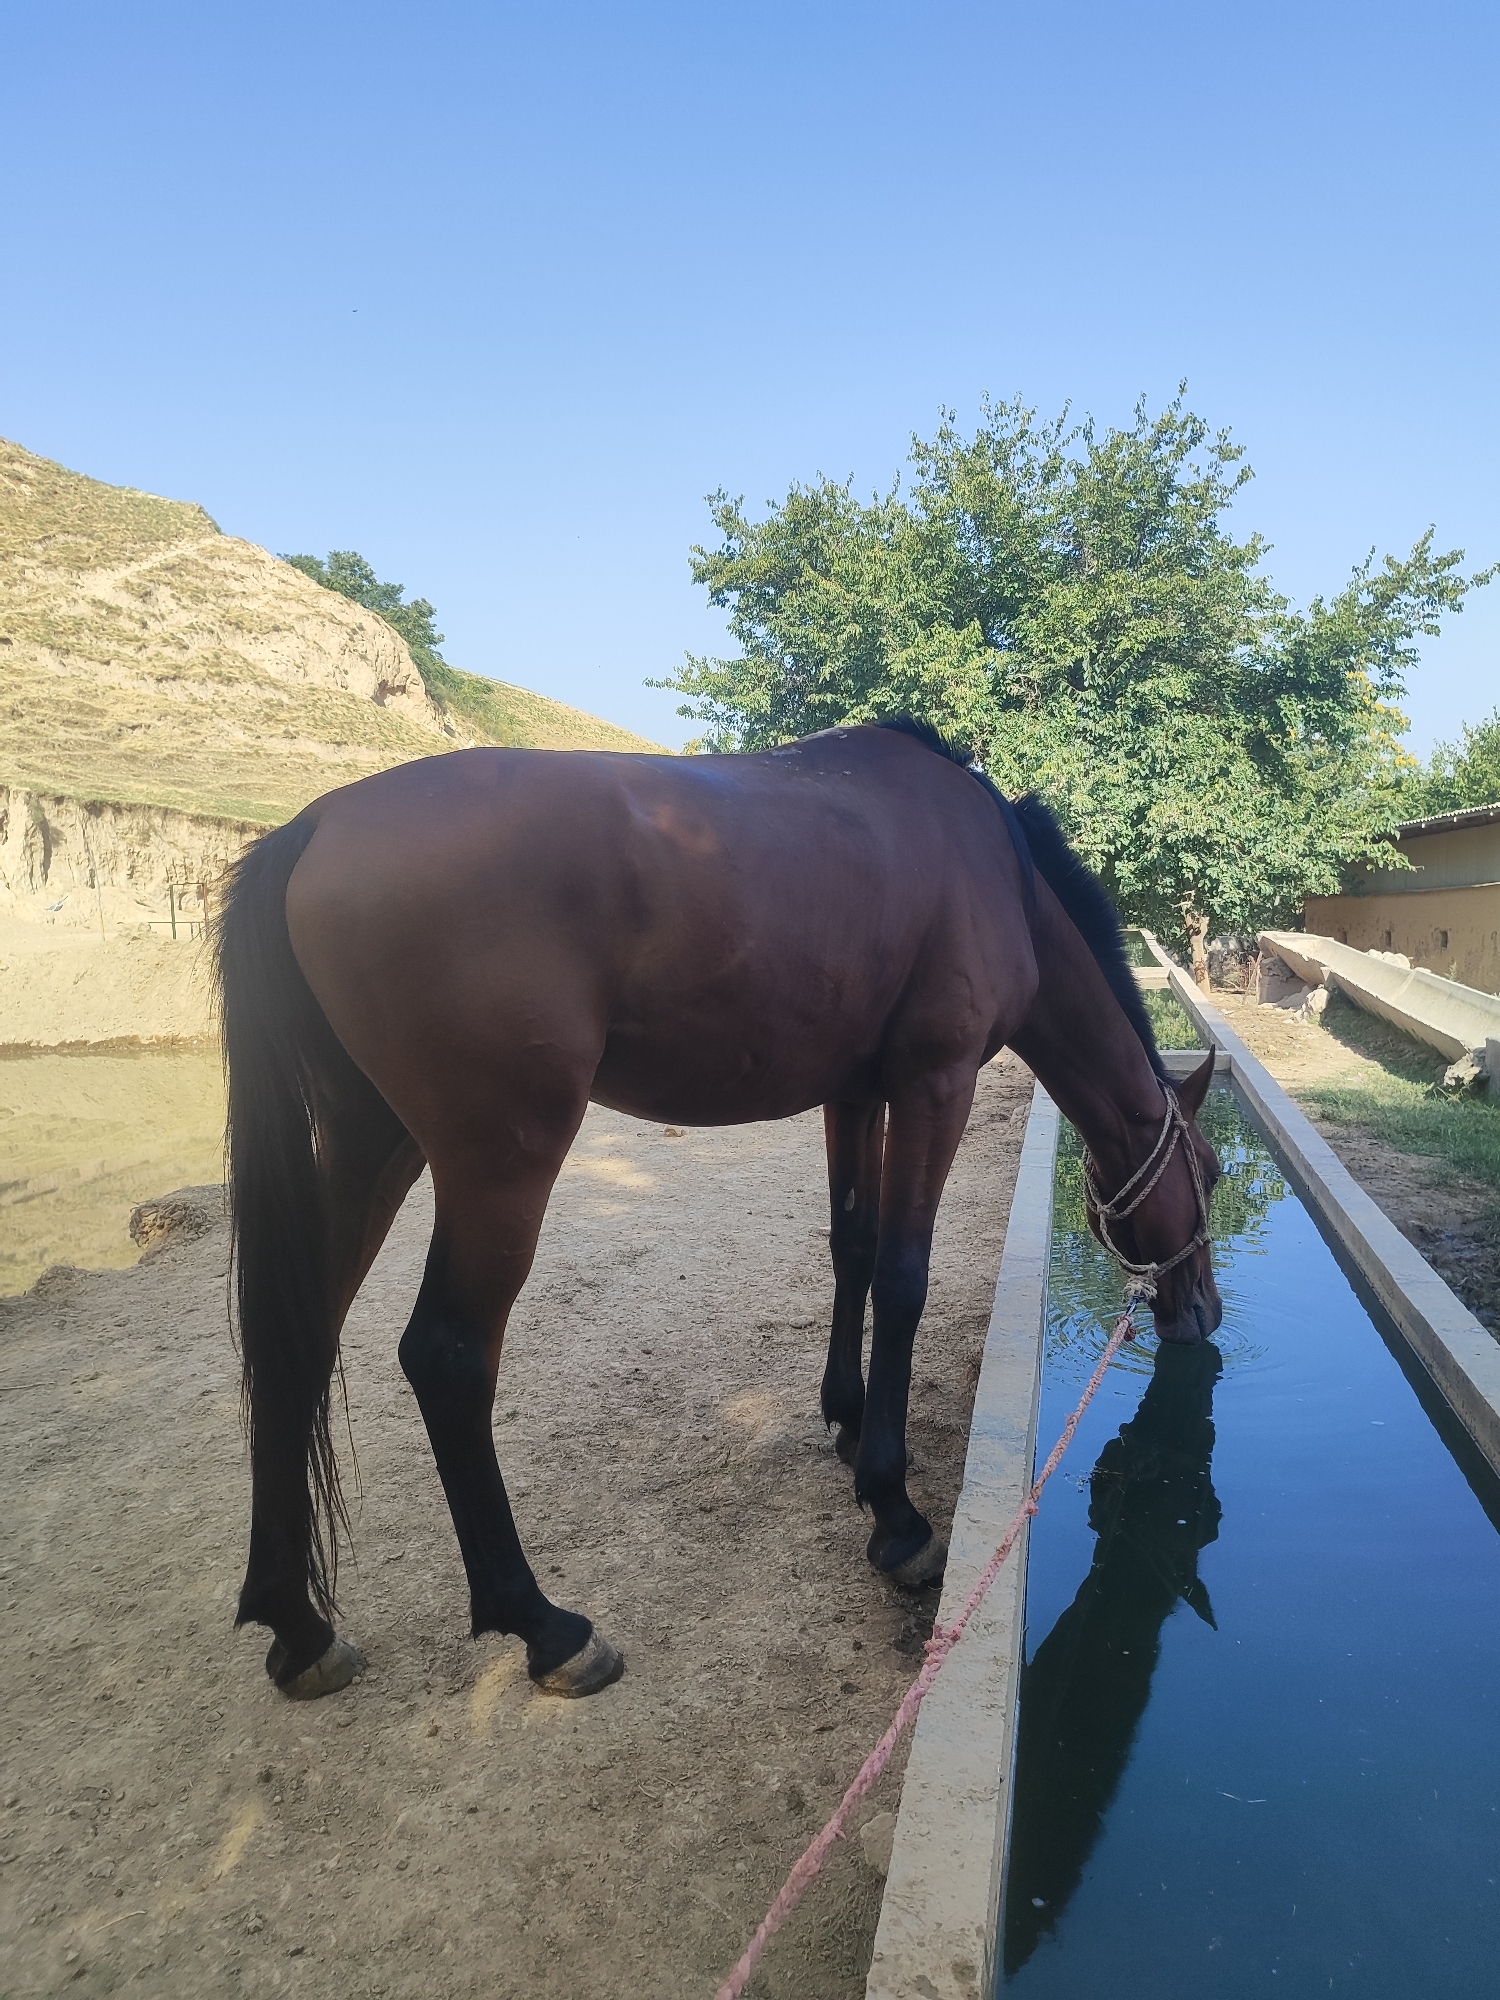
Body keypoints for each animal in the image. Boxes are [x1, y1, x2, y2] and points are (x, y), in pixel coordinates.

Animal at [214, 717, 1222, 1703]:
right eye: (1210, 1173)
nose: (1204, 1313)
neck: (996, 868)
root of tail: (320, 824)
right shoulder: (935, 1087)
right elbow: (902, 1280)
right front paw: (894, 1512)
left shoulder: (856, 1093)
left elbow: (852, 1246)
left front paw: (848, 1415)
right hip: (497, 1163)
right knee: (447, 1358)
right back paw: (544, 1628)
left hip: (369, 1143)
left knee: (297, 1338)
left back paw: (297, 1626)